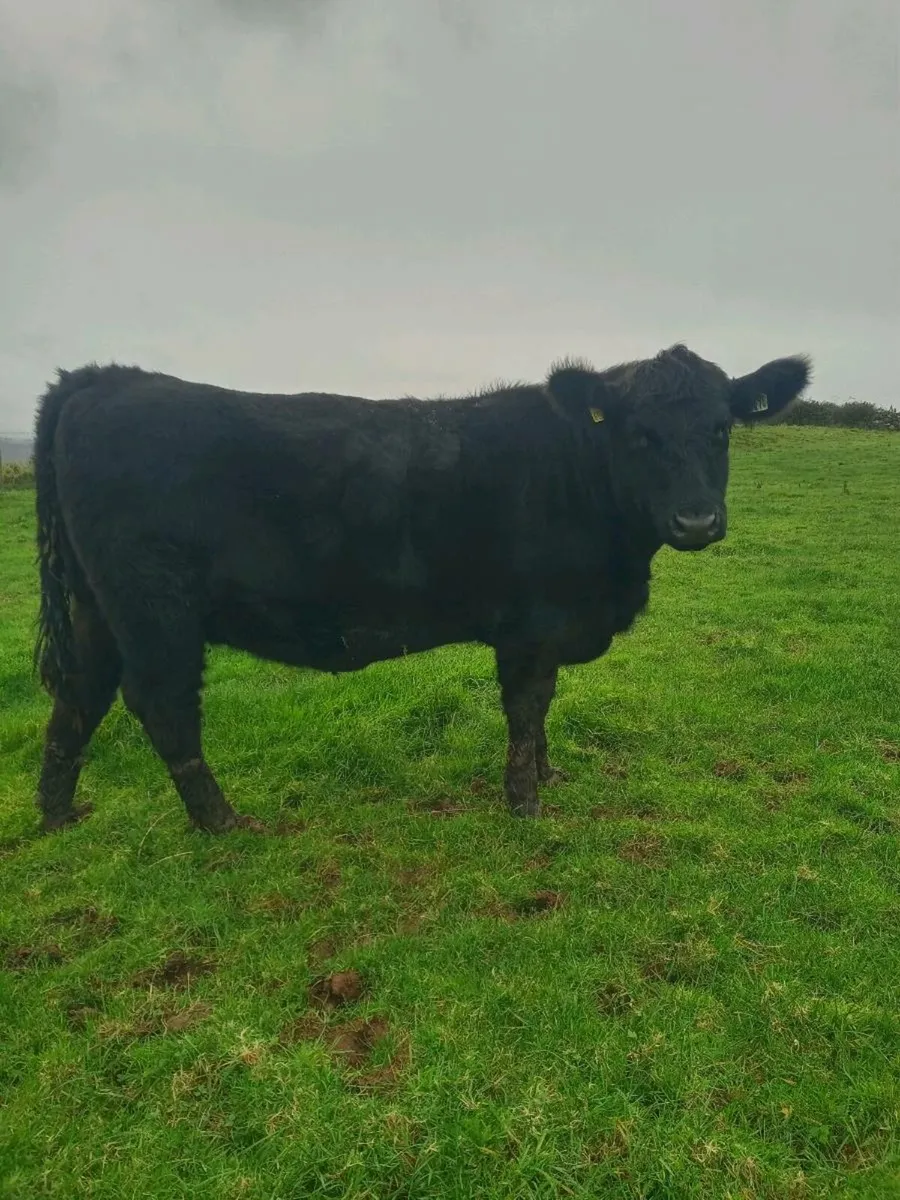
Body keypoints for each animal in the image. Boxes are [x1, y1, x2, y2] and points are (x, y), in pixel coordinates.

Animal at [32, 344, 810, 833]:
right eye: (638, 433)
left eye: (721, 428)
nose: (696, 520)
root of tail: (105, 377)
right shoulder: (531, 624)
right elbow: (527, 710)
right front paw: (525, 801)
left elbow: (545, 711)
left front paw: (550, 776)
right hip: (154, 608)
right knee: (162, 707)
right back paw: (222, 821)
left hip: (96, 607)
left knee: (78, 698)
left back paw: (57, 814)